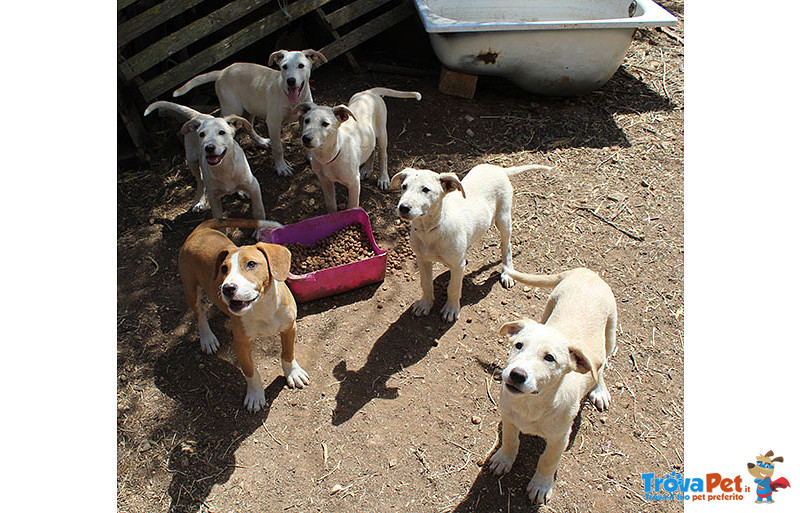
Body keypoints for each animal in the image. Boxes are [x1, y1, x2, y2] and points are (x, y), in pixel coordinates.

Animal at [173, 50, 326, 177]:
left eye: (301, 66)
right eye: (284, 67)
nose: (291, 81)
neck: (291, 99)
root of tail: (222, 71)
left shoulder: (303, 118)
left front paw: (311, 157)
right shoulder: (273, 123)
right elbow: (278, 148)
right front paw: (282, 167)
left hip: (250, 108)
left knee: (249, 126)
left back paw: (261, 141)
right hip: (232, 107)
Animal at [179, 218, 310, 410]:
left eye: (251, 264)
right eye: (224, 269)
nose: (227, 288)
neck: (262, 306)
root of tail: (199, 231)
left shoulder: (289, 327)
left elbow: (288, 354)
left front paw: (293, 373)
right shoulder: (241, 343)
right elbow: (250, 371)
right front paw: (255, 396)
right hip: (190, 289)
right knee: (200, 315)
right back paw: (207, 338)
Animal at [290, 87, 422, 211]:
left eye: (325, 124)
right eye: (306, 121)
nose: (306, 138)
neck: (328, 156)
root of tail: (370, 91)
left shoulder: (354, 183)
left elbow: (352, 206)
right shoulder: (325, 180)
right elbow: (331, 205)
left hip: (382, 133)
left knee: (383, 155)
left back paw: (383, 178)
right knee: (371, 149)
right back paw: (367, 169)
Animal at [390, 164, 552, 322]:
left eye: (426, 189)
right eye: (404, 186)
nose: (403, 207)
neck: (429, 230)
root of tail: (498, 168)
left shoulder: (457, 266)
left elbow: (453, 288)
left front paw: (451, 309)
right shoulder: (422, 259)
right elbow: (426, 283)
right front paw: (425, 304)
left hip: (503, 218)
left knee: (507, 246)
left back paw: (507, 273)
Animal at [488, 268, 620, 504]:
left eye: (550, 358)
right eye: (518, 345)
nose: (517, 375)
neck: (532, 404)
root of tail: (586, 271)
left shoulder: (560, 438)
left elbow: (548, 460)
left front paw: (541, 485)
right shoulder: (509, 418)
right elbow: (510, 441)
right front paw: (503, 460)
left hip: (610, 332)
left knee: (601, 365)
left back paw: (599, 389)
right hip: (548, 308)